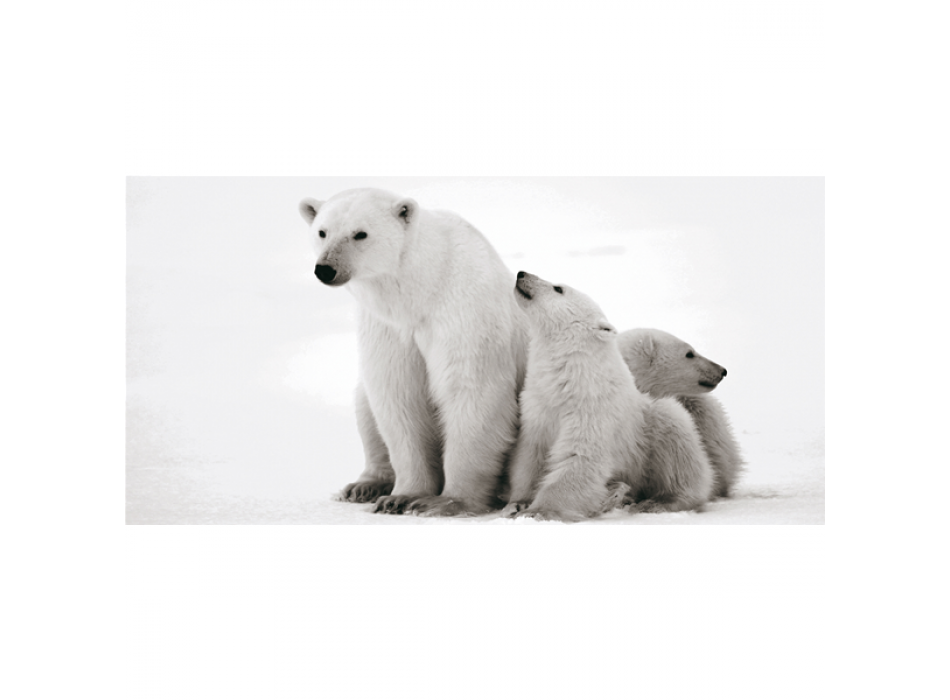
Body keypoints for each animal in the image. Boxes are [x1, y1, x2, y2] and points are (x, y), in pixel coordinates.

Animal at [298, 188, 525, 516]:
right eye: (322, 232)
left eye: (360, 233)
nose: (326, 269)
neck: (423, 290)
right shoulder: (388, 328)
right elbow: (398, 396)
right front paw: (401, 497)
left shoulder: (464, 312)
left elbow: (472, 391)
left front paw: (445, 502)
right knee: (364, 405)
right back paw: (364, 486)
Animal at [501, 271, 714, 522]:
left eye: (558, 288)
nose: (522, 273)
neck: (571, 378)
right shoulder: (538, 406)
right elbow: (530, 455)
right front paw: (517, 504)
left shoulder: (592, 410)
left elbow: (581, 458)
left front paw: (538, 511)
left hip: (654, 430)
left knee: (679, 453)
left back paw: (656, 502)